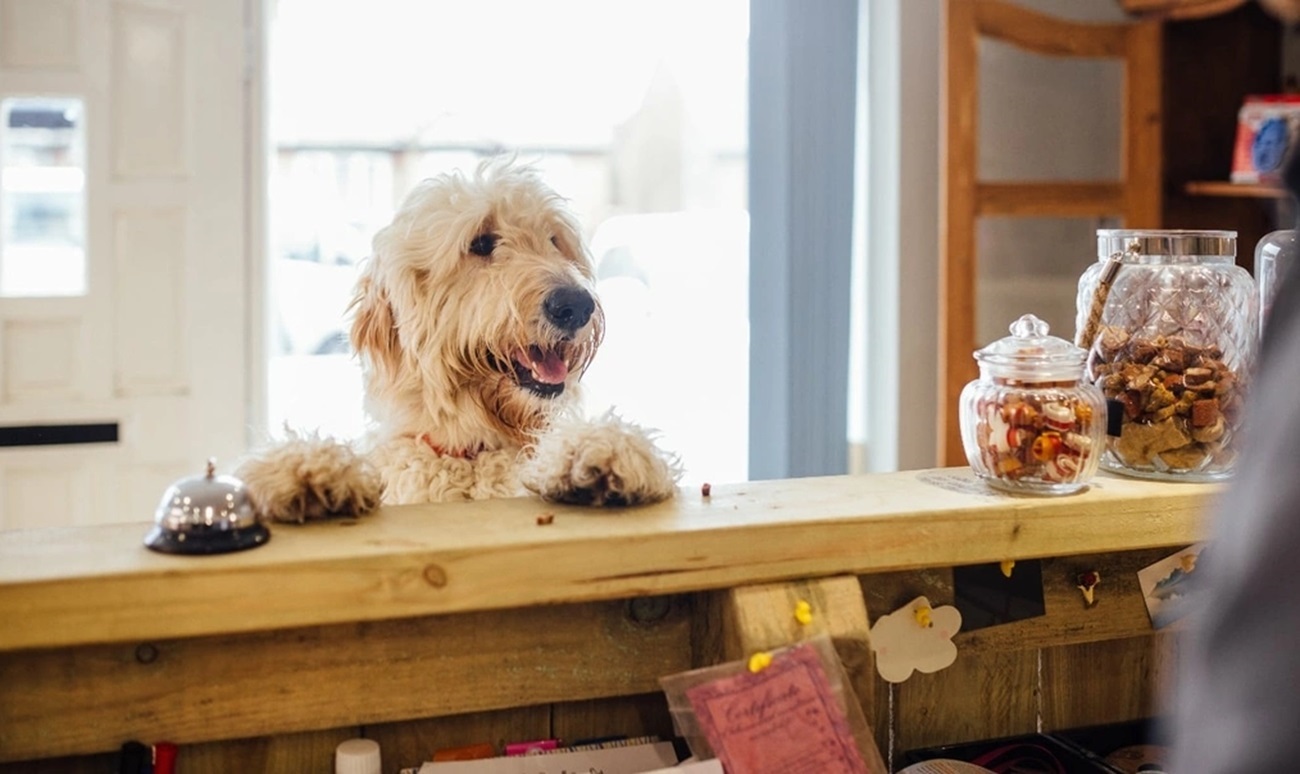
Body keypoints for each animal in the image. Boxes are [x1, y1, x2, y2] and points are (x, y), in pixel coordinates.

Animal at [239, 158, 681, 520]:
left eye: (555, 240)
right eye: (481, 243)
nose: (575, 304)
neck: (470, 453)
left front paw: (602, 449)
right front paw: (309, 467)